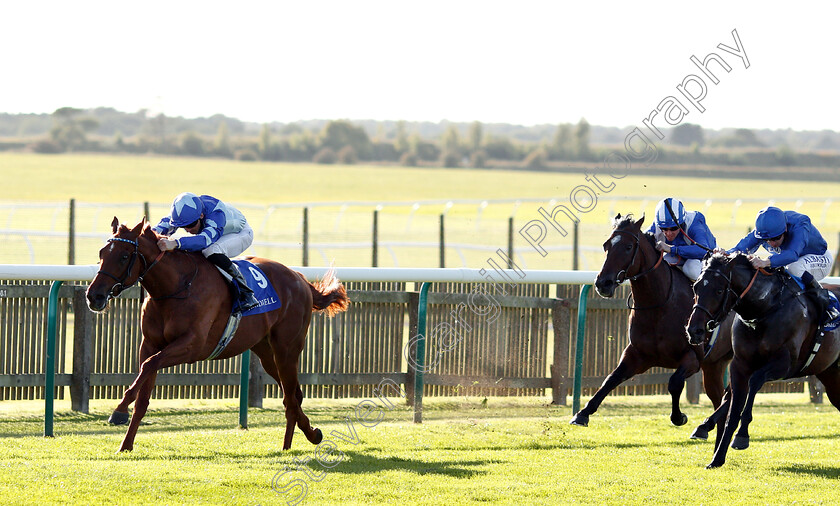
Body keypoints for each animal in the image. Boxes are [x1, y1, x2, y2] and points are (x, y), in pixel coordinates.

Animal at [85, 217, 348, 450]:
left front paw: (120, 409)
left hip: (287, 349)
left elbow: (150, 364)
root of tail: (300, 279)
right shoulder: (149, 343)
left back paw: (289, 445)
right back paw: (310, 434)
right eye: (101, 253)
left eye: (123, 256)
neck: (176, 287)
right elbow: (144, 388)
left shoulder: (192, 346)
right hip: (265, 351)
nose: (94, 296)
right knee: (292, 393)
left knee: (291, 396)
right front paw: (125, 444)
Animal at [576, 214, 732, 434]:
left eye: (628, 246)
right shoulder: (637, 355)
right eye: (606, 245)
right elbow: (611, 379)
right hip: (715, 365)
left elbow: (674, 382)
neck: (660, 305)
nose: (602, 283)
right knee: (720, 398)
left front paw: (679, 417)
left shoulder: (693, 357)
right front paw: (582, 413)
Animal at [684, 253, 840, 470]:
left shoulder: (784, 365)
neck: (764, 310)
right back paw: (704, 426)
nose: (694, 330)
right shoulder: (740, 365)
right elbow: (733, 411)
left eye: (719, 290)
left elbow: (755, 382)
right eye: (696, 287)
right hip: (830, 374)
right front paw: (717, 458)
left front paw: (742, 436)